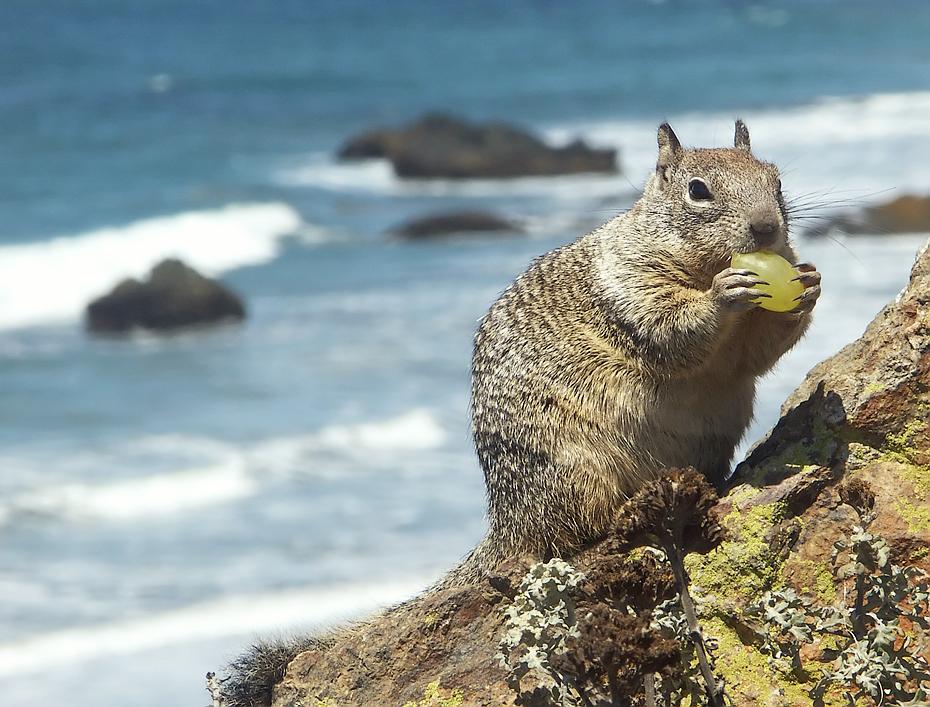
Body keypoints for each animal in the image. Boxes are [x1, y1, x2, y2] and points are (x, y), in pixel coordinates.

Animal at [220, 120, 821, 706]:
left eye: (775, 179)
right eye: (698, 190)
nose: (767, 228)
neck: (692, 261)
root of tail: (506, 521)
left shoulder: (742, 345)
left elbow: (760, 352)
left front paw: (810, 284)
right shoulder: (627, 289)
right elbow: (673, 329)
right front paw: (723, 293)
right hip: (574, 467)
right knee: (575, 532)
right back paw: (629, 514)